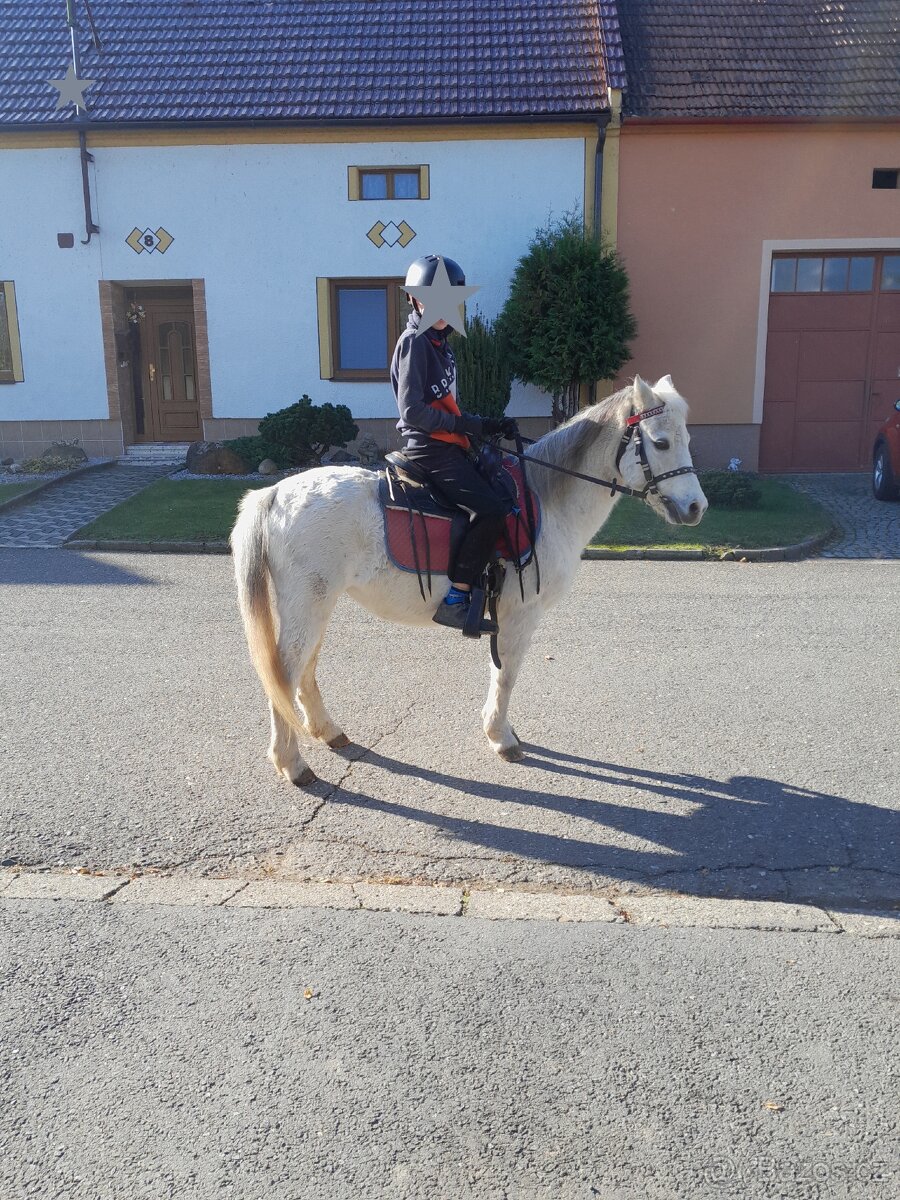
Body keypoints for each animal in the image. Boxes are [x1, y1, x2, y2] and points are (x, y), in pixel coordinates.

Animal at [230, 374, 708, 786]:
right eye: (661, 442)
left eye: (687, 440)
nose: (696, 508)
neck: (543, 500)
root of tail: (274, 494)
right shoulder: (520, 615)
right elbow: (507, 674)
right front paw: (502, 737)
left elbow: (501, 672)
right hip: (308, 604)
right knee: (285, 672)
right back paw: (292, 764)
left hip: (317, 604)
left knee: (304, 669)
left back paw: (328, 732)